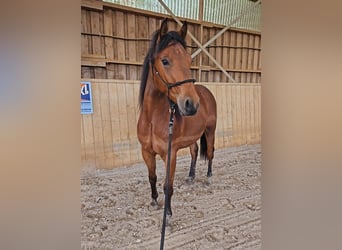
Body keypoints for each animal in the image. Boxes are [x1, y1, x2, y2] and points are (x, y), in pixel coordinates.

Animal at [136, 17, 216, 225]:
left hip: (210, 131)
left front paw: (168, 216)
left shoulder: (170, 154)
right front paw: (154, 201)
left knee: (210, 153)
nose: (191, 104)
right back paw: (191, 176)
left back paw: (208, 177)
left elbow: (168, 186)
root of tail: (206, 93)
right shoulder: (146, 152)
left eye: (189, 61)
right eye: (165, 61)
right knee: (195, 151)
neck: (153, 119)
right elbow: (152, 177)